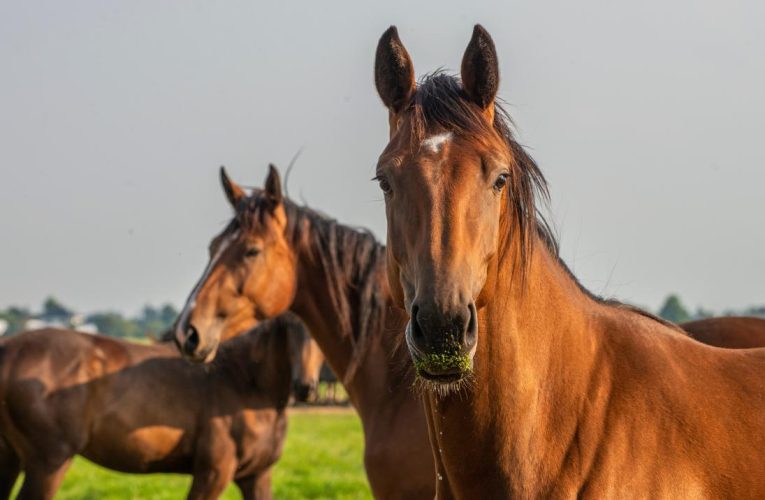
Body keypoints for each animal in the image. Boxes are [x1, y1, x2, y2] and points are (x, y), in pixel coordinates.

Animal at [0, 314, 314, 500]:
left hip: (12, 459)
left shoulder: (256, 476)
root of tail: (8, 352)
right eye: (291, 325)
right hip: (49, 461)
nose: (306, 386)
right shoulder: (213, 474)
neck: (244, 381)